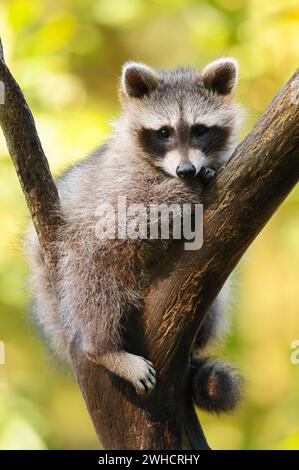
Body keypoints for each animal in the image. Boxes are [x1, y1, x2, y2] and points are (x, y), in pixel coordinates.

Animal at [26, 57, 244, 412]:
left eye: (200, 130)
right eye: (164, 132)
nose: (186, 171)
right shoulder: (117, 179)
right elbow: (123, 220)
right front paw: (181, 191)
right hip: (64, 273)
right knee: (93, 277)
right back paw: (103, 347)